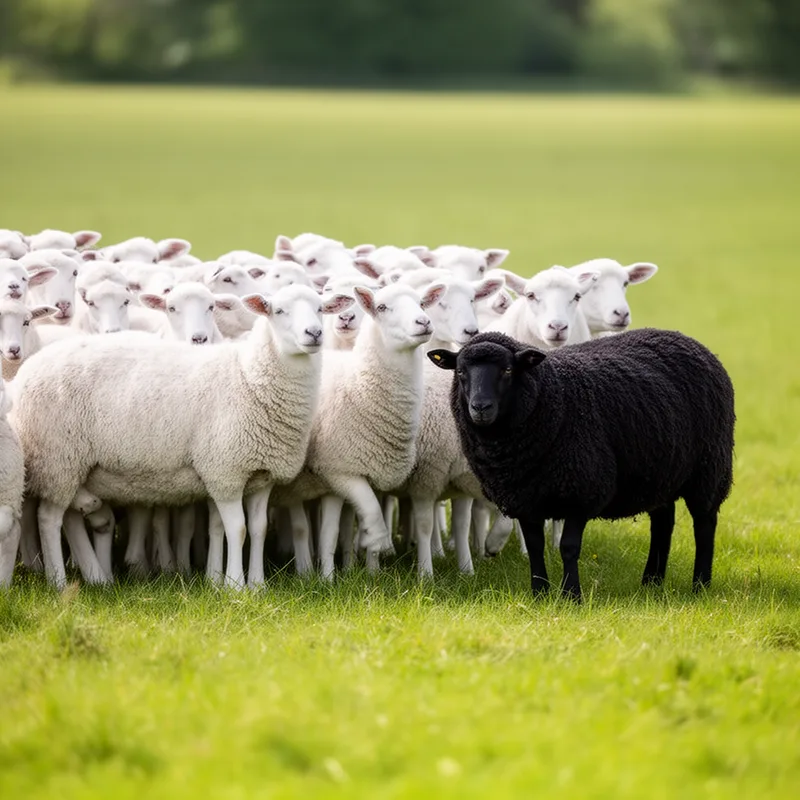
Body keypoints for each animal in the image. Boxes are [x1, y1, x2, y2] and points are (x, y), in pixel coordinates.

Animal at [11, 284, 353, 589]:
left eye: (320, 308)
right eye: (279, 311)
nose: (314, 333)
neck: (249, 377)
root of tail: (27, 370)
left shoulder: (262, 473)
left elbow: (257, 529)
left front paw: (257, 585)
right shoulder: (225, 472)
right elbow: (238, 529)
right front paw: (236, 587)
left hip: (71, 466)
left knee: (68, 516)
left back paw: (93, 578)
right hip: (58, 458)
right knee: (49, 519)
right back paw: (58, 582)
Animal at [429, 329, 735, 601]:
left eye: (507, 370)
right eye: (460, 372)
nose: (480, 407)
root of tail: (690, 341)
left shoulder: (581, 491)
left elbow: (568, 547)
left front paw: (571, 595)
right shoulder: (525, 496)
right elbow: (535, 546)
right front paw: (539, 594)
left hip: (709, 470)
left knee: (704, 523)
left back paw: (700, 585)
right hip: (659, 471)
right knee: (662, 522)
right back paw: (652, 581)